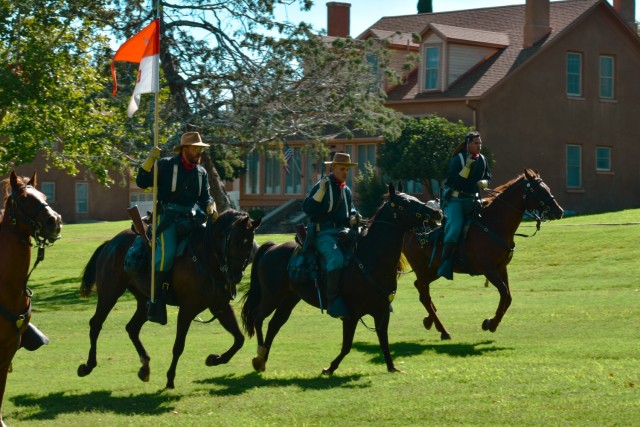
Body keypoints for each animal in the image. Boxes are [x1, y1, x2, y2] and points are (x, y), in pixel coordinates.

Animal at [77, 209, 260, 390]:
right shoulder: (187, 309)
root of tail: (110, 243)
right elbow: (179, 345)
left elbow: (239, 339)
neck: (206, 258)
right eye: (234, 241)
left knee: (132, 328)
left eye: (250, 243)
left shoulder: (220, 306)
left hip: (145, 302)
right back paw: (88, 365)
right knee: (96, 324)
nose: (235, 276)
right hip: (109, 294)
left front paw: (215, 359)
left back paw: (145, 367)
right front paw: (170, 378)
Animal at [239, 184, 440, 374]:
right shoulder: (351, 315)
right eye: (404, 203)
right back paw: (259, 355)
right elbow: (347, 346)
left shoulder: (381, 312)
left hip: (290, 298)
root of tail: (272, 247)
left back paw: (262, 360)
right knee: (258, 317)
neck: (371, 258)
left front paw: (392, 367)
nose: (436, 213)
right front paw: (330, 368)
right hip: (272, 296)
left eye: (414, 197)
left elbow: (384, 341)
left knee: (275, 323)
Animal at [402, 169, 564, 340]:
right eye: (537, 190)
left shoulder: (501, 267)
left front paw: (490, 322)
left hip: (434, 269)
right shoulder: (489, 269)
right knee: (424, 295)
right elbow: (504, 293)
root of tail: (408, 229)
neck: (493, 223)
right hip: (421, 267)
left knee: (420, 288)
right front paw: (491, 324)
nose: (559, 211)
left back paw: (429, 320)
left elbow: (508, 297)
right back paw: (443, 330)